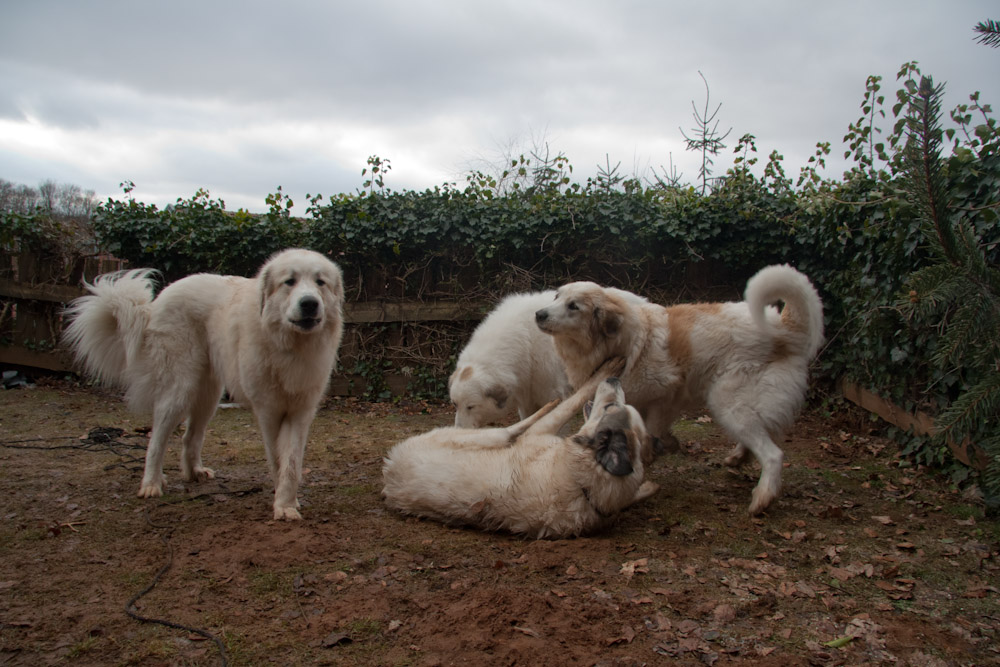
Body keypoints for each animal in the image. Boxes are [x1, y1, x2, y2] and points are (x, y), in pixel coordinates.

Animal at [63, 250, 344, 520]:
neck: (290, 345)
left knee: (190, 436)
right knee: (157, 439)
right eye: (290, 281)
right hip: (180, 389)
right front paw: (282, 504)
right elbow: (277, 459)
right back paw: (151, 483)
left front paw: (288, 502)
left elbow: (292, 462)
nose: (309, 303)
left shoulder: (301, 412)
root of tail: (157, 303)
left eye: (320, 282)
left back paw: (193, 472)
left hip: (208, 396)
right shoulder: (269, 412)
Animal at [380, 358, 656, 540]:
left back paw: (546, 405)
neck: (586, 488)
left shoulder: (539, 434)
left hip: (486, 436)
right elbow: (574, 400)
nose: (614, 379)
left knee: (514, 428)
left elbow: (573, 401)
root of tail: (389, 476)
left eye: (609, 408)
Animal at [536, 264, 824, 516]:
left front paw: (653, 453)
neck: (620, 343)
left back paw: (762, 498)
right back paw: (739, 457)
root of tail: (784, 328)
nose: (539, 314)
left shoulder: (665, 395)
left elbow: (652, 430)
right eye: (557, 296)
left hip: (726, 402)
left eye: (573, 306)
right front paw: (665, 446)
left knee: (773, 454)